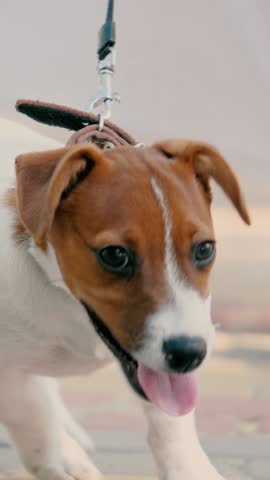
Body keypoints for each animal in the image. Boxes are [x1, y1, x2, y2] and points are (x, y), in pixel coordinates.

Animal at [0, 140, 250, 480]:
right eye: (115, 255)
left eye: (205, 249)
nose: (188, 354)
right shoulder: (10, 372)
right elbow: (33, 411)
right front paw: (65, 461)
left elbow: (171, 423)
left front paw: (190, 469)